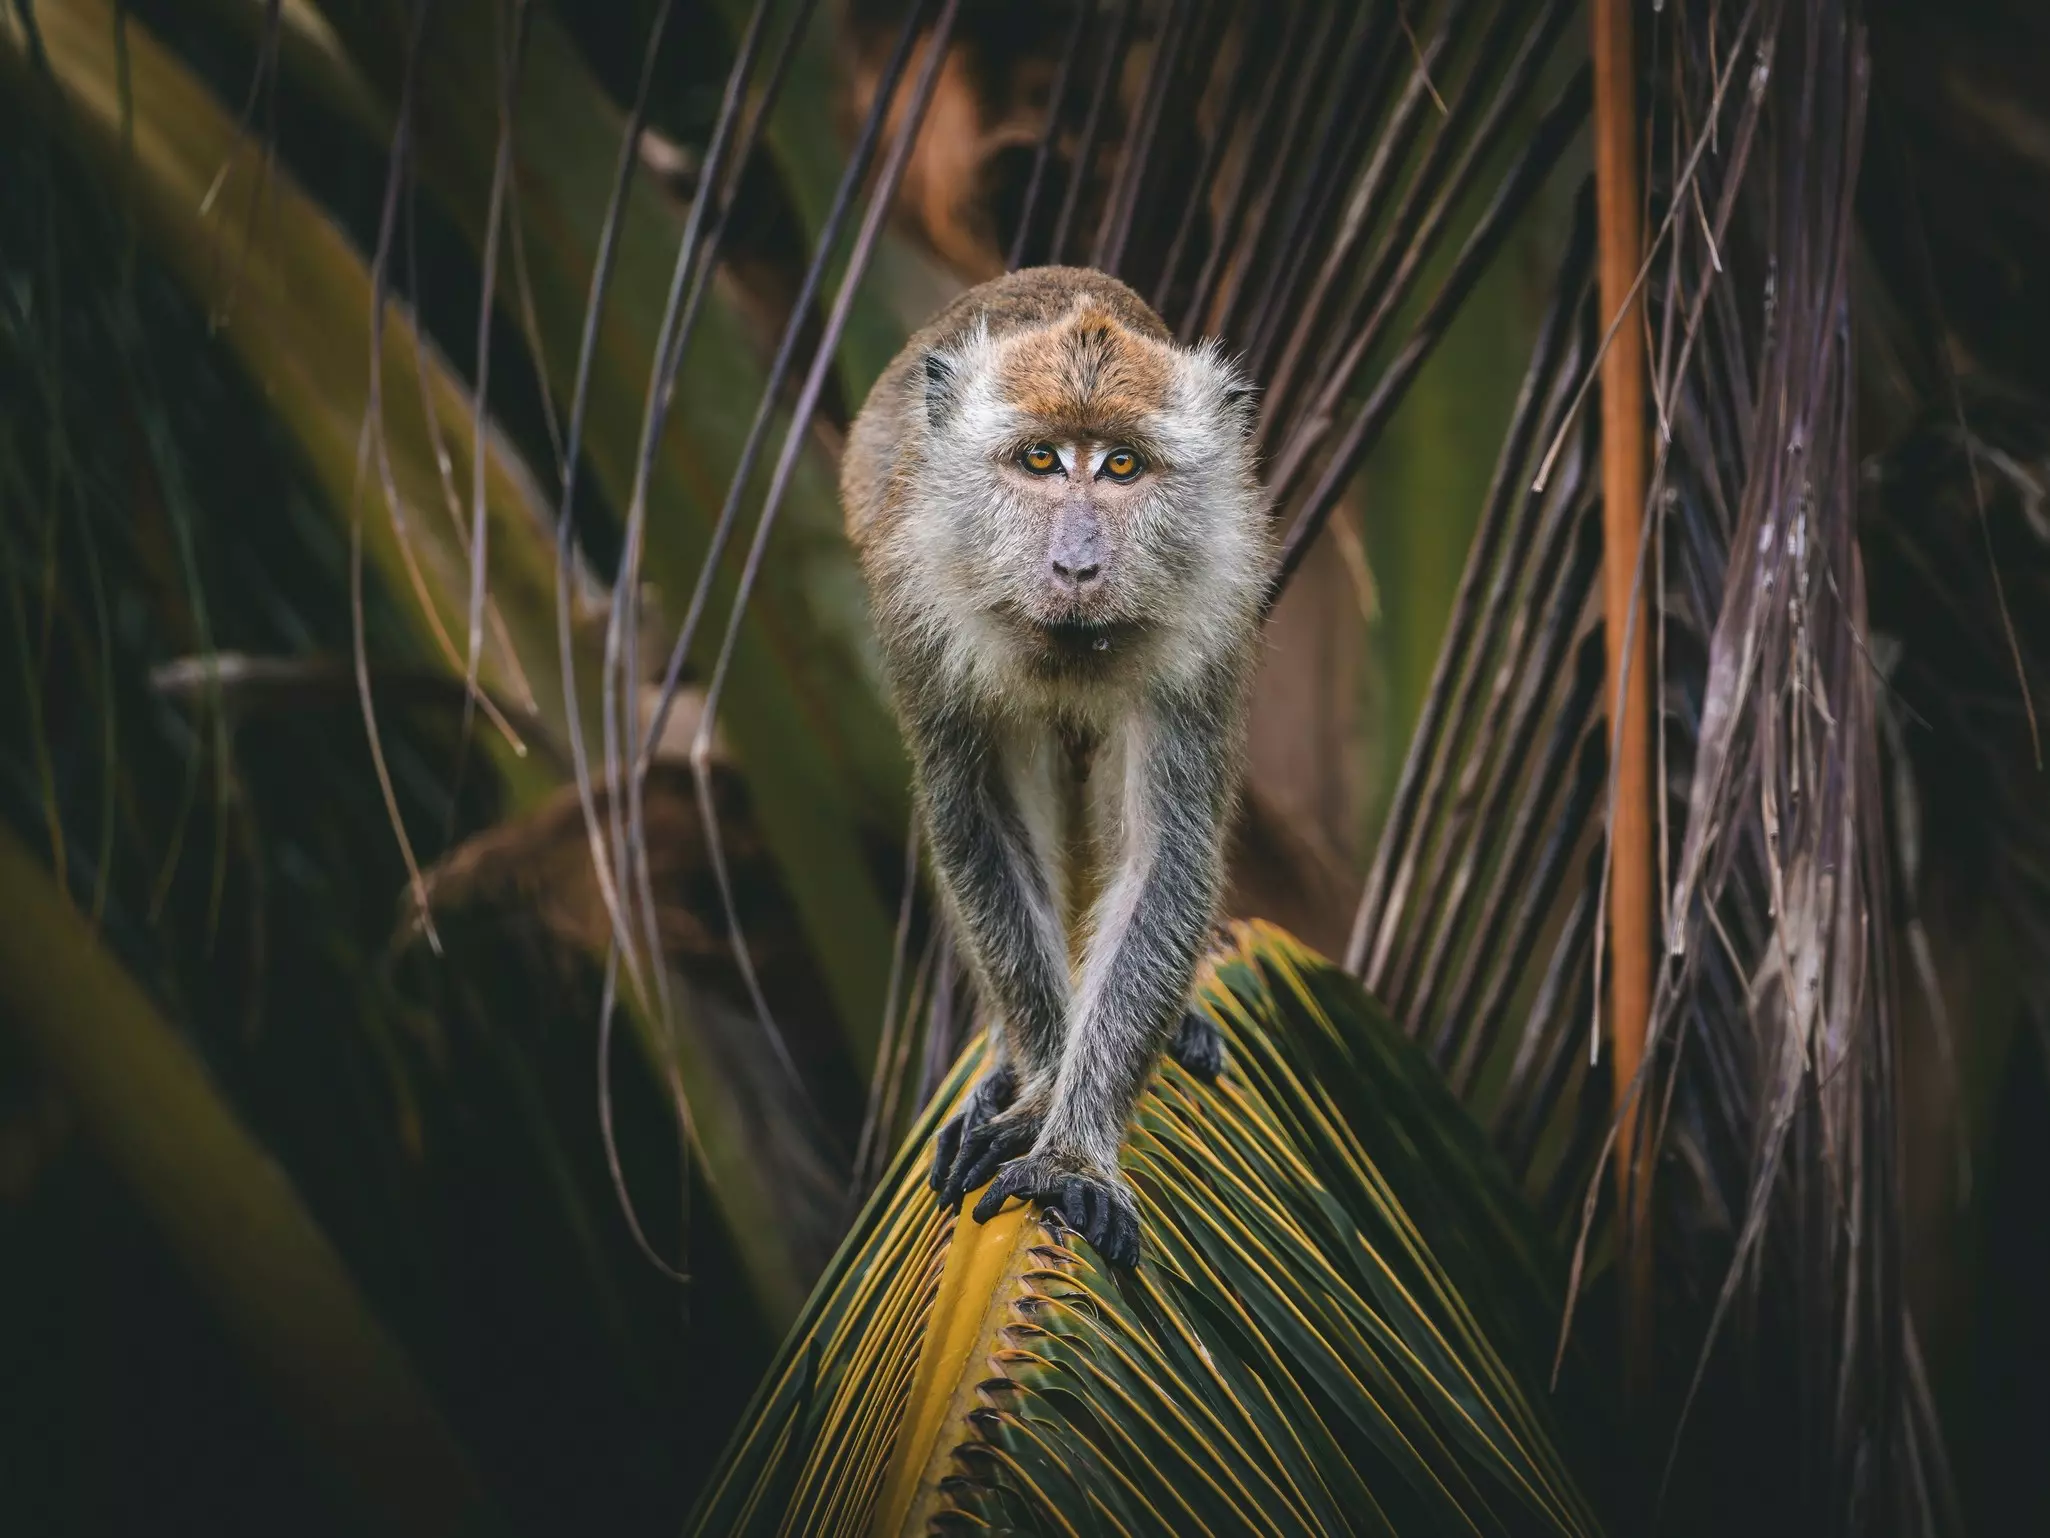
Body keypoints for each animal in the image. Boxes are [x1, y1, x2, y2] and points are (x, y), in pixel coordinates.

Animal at [842, 266, 1270, 1269]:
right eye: (1040, 460)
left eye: (1120, 467)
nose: (1076, 563)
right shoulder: (922, 607)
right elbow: (976, 821)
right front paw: (1038, 1088)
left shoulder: (1209, 619)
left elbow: (1164, 853)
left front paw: (1074, 1150)